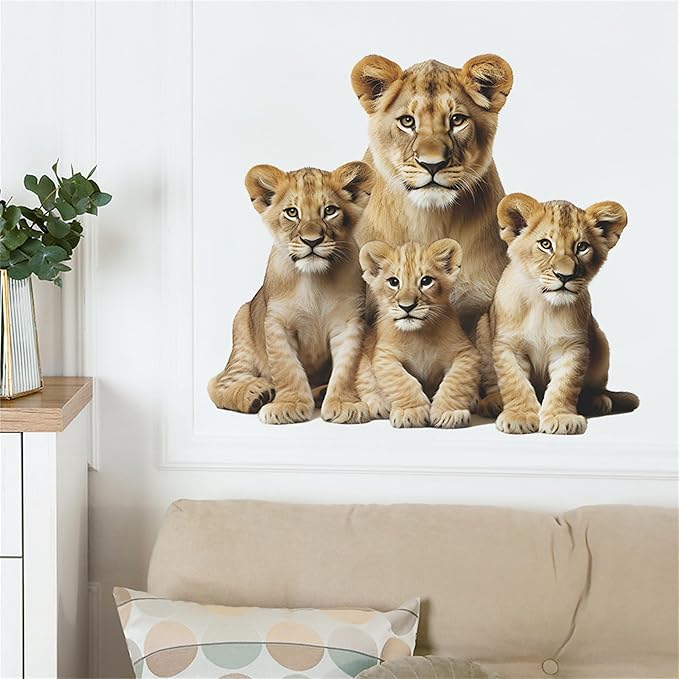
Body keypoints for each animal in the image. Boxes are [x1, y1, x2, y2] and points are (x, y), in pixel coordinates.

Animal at [207, 162, 375, 425]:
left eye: (329, 211)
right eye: (292, 212)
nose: (312, 241)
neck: (315, 280)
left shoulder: (349, 322)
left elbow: (346, 368)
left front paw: (344, 404)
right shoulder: (278, 322)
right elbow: (287, 367)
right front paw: (289, 405)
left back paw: (320, 393)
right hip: (242, 325)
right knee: (221, 383)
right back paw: (256, 394)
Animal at [356, 239, 480, 429]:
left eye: (426, 281)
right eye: (393, 282)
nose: (407, 306)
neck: (418, 334)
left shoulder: (465, 352)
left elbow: (456, 382)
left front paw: (449, 413)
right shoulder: (384, 355)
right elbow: (402, 381)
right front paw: (411, 412)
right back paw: (380, 404)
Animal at [475, 193, 639, 435]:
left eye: (582, 247)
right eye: (545, 244)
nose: (565, 276)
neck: (543, 305)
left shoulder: (572, 347)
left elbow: (565, 385)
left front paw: (561, 418)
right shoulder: (509, 346)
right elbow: (515, 382)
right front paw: (519, 416)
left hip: (601, 341)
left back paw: (597, 401)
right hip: (482, 329)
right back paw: (493, 402)